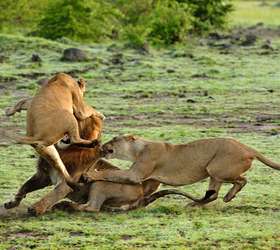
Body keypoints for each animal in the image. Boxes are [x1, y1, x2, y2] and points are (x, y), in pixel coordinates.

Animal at [89, 135, 280, 205]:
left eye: (115, 139)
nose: (102, 145)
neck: (138, 149)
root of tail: (248, 148)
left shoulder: (135, 174)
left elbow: (112, 173)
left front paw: (91, 174)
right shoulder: (152, 179)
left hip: (216, 168)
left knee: (243, 180)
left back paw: (228, 196)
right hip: (213, 173)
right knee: (213, 194)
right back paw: (195, 203)